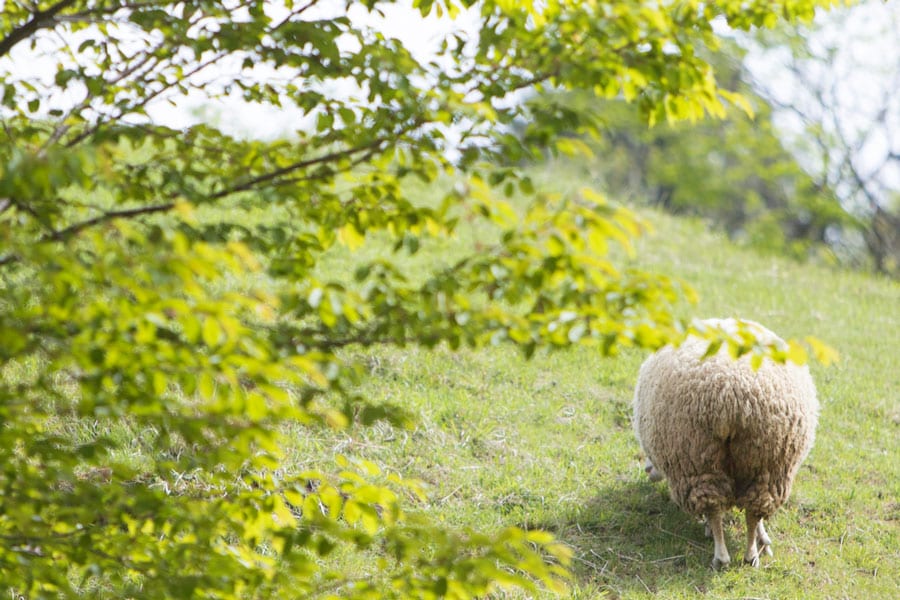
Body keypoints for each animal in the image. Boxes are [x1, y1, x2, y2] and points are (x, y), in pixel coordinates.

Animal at [628, 316, 820, 568]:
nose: (648, 470)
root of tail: (732, 395)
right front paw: (764, 539)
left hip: (697, 459)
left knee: (713, 507)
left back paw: (720, 556)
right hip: (769, 464)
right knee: (754, 510)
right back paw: (751, 554)